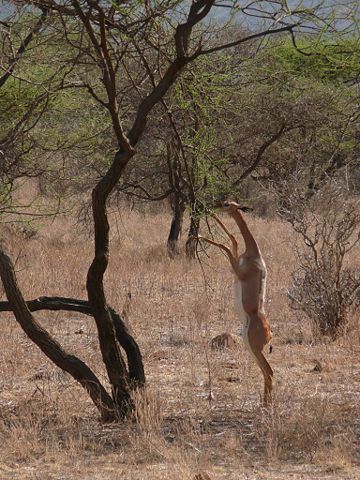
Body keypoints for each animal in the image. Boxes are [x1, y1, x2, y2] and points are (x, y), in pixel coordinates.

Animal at [198, 200, 272, 404]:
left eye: (226, 204)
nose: (213, 207)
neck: (254, 254)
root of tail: (270, 333)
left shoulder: (236, 270)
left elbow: (226, 244)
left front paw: (198, 235)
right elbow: (233, 239)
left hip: (255, 348)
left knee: (269, 372)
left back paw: (266, 406)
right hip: (250, 347)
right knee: (266, 372)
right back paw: (263, 404)